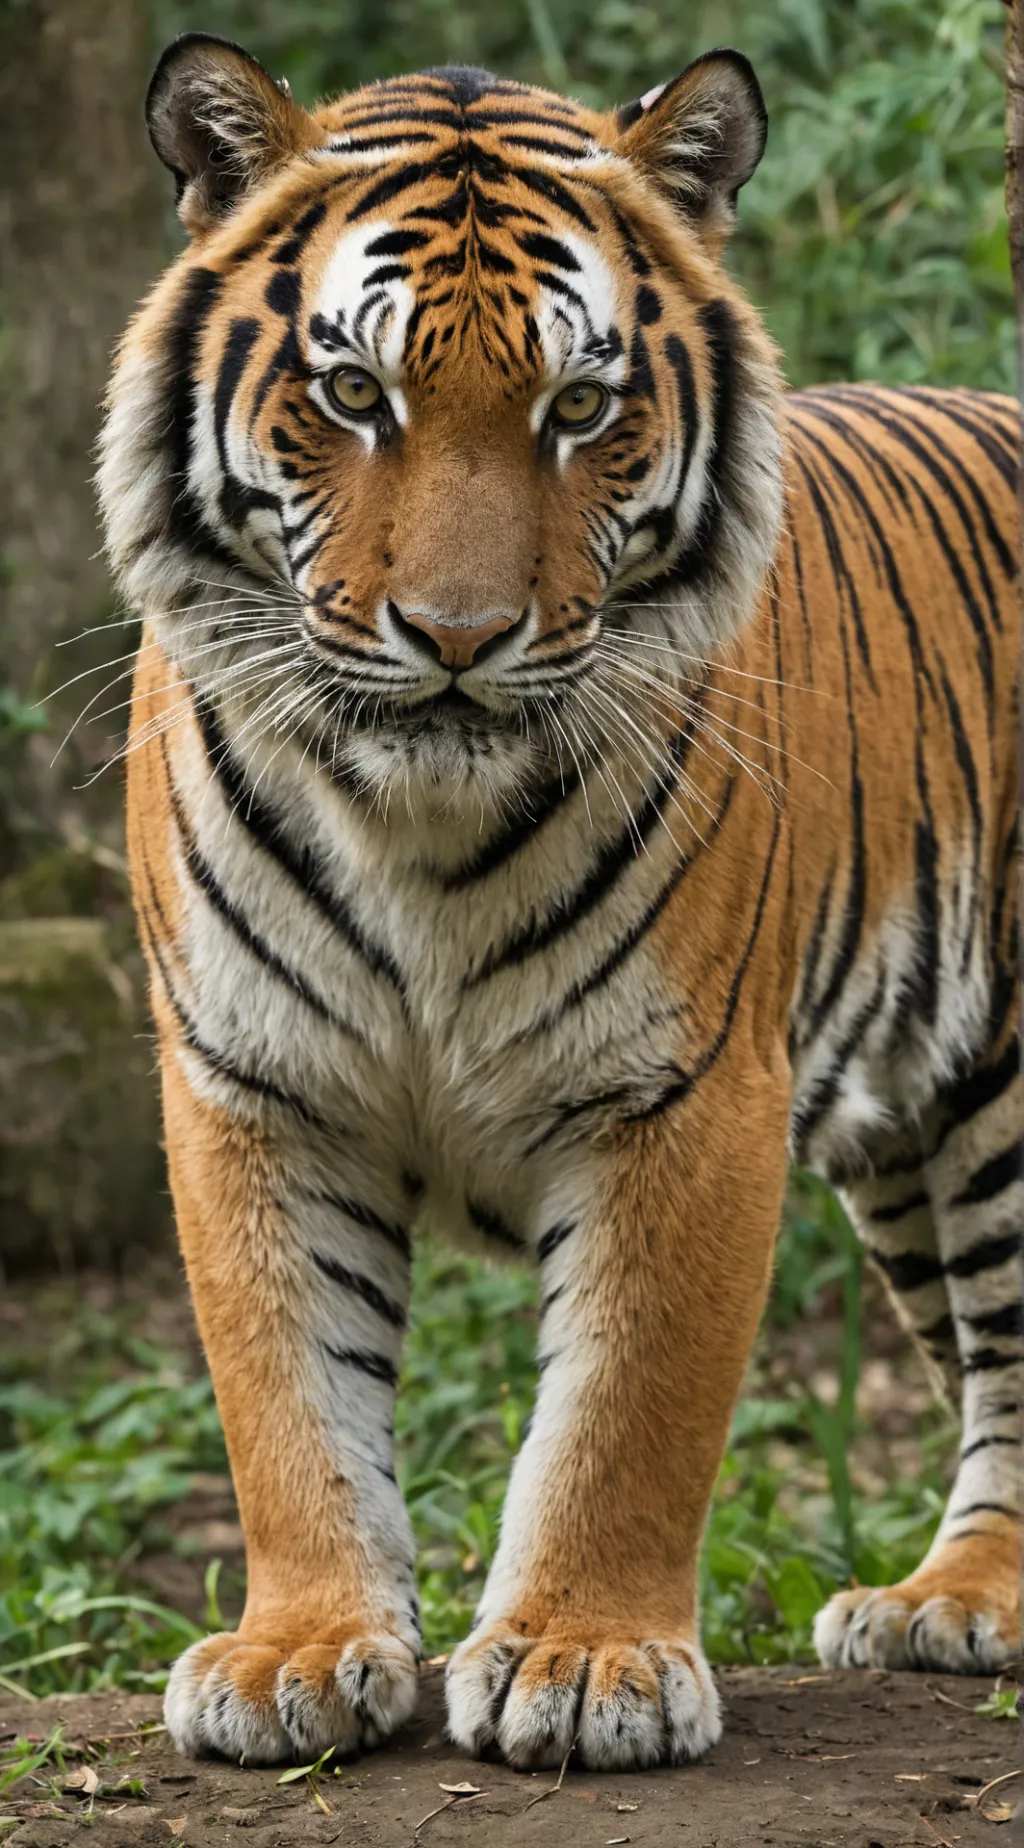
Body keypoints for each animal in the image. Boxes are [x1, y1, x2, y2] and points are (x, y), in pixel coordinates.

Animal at [96, 31, 1022, 1773]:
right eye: (353, 392)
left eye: (580, 407)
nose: (458, 638)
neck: (414, 821)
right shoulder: (252, 1083)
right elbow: (288, 1393)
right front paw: (297, 1653)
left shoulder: (688, 1093)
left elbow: (625, 1408)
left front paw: (588, 1664)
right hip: (908, 1144)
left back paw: (964, 1600)